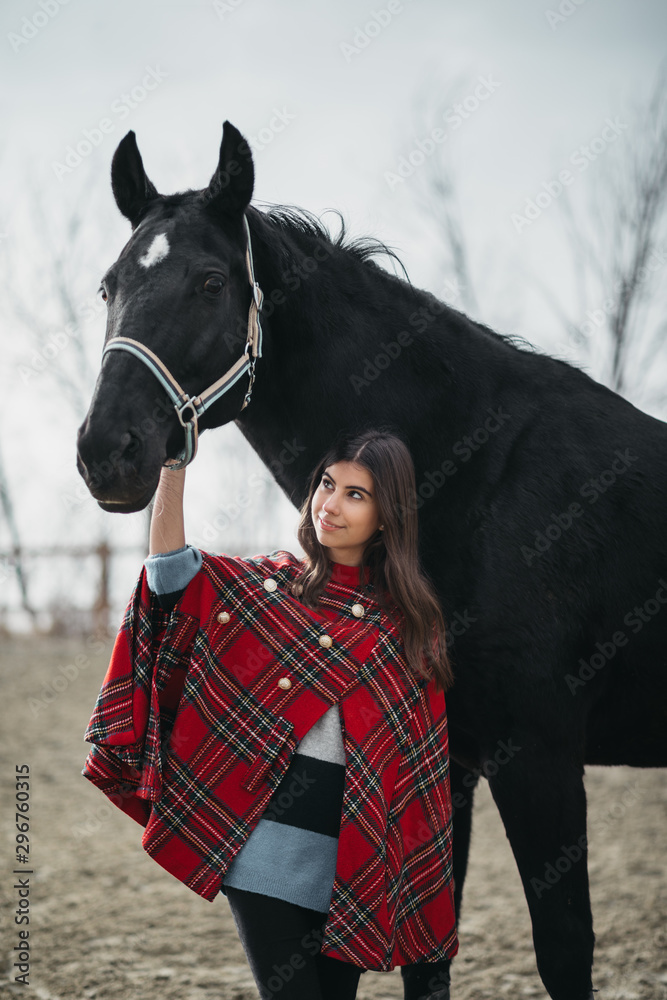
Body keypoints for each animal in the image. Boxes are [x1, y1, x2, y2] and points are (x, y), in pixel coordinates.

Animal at [76, 121, 667, 1000]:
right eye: (109, 286)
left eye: (211, 282)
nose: (104, 453)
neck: (477, 472)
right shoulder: (450, 760)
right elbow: (430, 953)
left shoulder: (541, 755)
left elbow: (563, 948)